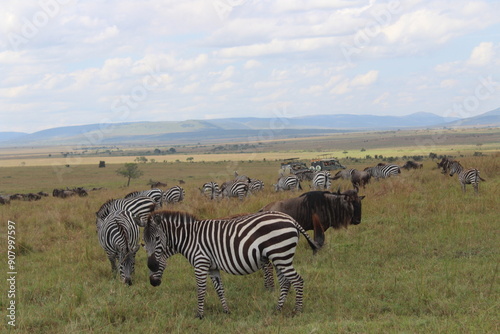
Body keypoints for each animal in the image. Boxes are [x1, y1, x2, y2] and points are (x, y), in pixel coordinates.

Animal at [144, 211, 320, 318]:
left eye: (157, 239)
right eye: (145, 243)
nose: (152, 281)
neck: (188, 238)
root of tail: (291, 219)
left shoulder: (200, 263)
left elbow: (201, 290)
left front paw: (199, 315)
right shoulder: (212, 267)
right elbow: (220, 290)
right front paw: (226, 311)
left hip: (281, 256)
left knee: (298, 280)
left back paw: (297, 311)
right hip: (280, 258)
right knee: (285, 282)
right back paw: (278, 309)